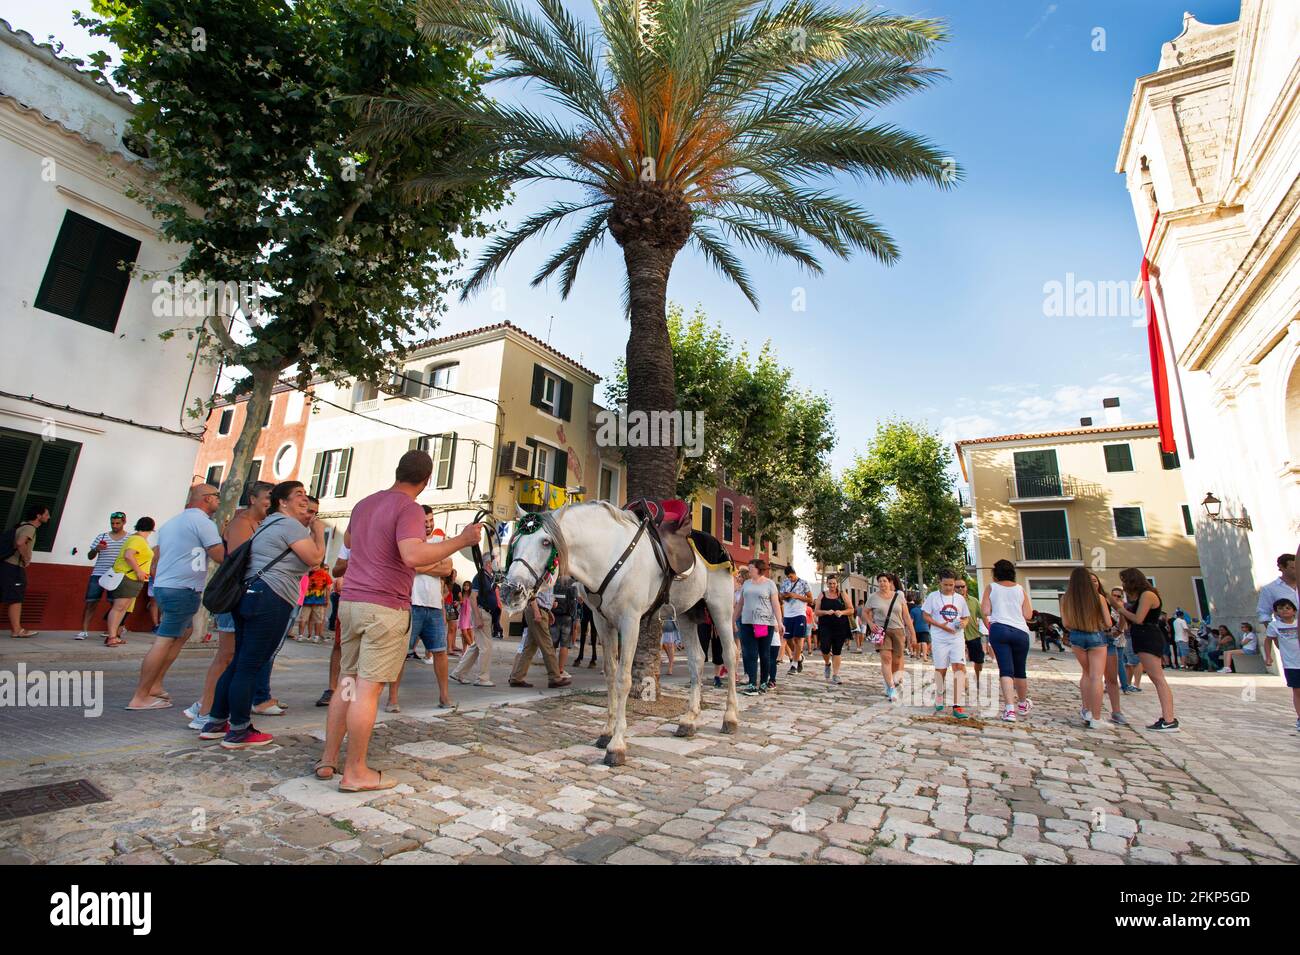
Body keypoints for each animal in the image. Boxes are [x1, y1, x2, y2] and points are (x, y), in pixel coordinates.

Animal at [499, 501, 743, 769]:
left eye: (545, 542)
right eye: (515, 542)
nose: (511, 591)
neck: (609, 556)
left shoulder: (630, 622)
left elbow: (623, 679)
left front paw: (617, 745)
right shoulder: (602, 623)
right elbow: (610, 675)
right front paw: (606, 732)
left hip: (720, 608)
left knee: (730, 655)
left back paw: (730, 717)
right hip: (687, 614)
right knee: (697, 660)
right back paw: (689, 719)